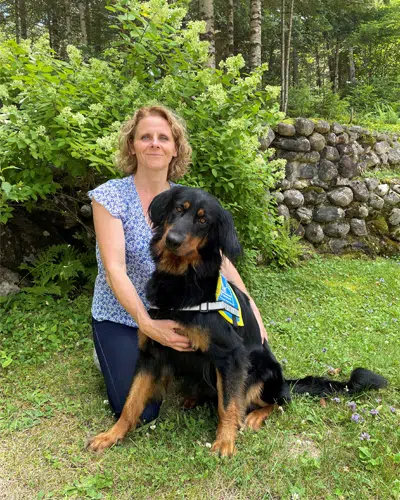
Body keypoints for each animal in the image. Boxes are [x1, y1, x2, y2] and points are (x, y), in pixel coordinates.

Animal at [88, 186, 388, 456]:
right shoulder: (152, 351)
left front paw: (225, 442)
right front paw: (112, 435)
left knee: (279, 400)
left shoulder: (231, 356)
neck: (182, 281)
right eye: (178, 209)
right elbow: (131, 401)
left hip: (262, 371)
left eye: (203, 220)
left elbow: (229, 404)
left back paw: (254, 415)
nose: (172, 240)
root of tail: (284, 380)